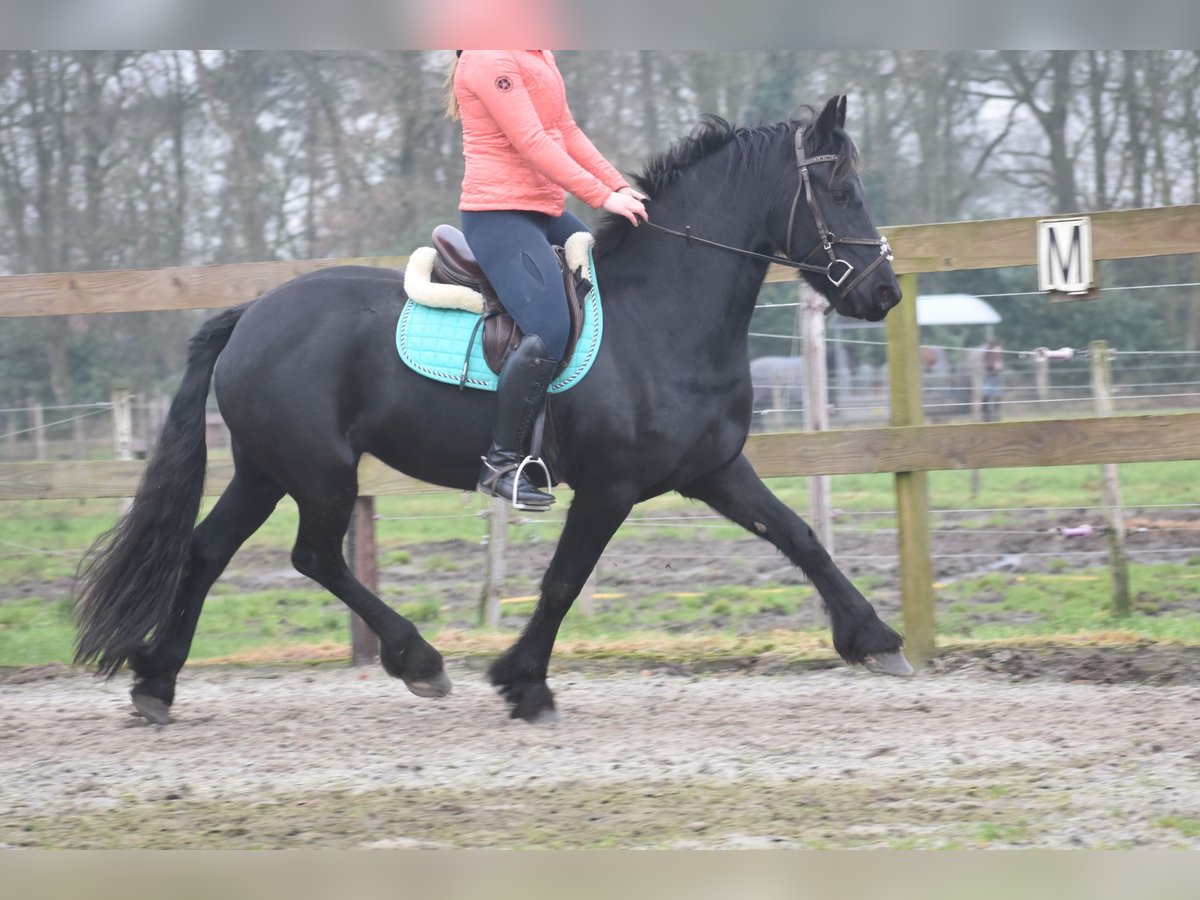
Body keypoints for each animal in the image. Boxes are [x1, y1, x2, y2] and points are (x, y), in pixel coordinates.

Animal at [75, 97, 902, 724]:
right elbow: (563, 582)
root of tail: (251, 312)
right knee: (314, 556)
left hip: (265, 471)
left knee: (206, 552)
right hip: (319, 472)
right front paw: (525, 683)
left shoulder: (715, 470)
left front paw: (876, 638)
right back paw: (418, 660)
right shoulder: (610, 489)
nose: (885, 293)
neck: (662, 315)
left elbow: (798, 537)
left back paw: (156, 683)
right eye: (841, 190)